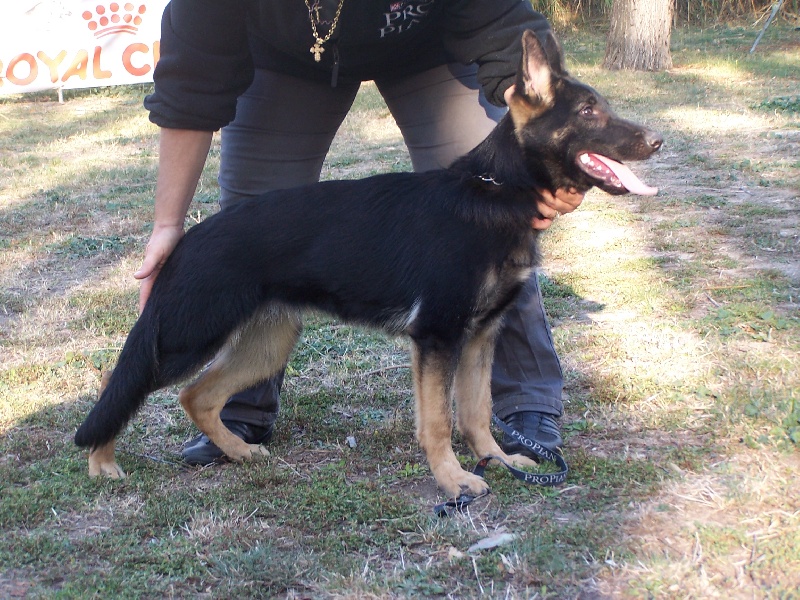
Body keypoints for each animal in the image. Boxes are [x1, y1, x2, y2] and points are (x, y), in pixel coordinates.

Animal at [75, 30, 664, 500]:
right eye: (588, 112)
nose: (657, 141)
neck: (494, 190)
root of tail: (189, 236)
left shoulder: (479, 338)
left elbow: (475, 412)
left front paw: (495, 460)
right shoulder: (438, 338)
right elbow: (437, 421)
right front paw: (453, 480)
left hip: (267, 344)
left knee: (197, 396)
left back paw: (238, 452)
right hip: (185, 340)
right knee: (127, 385)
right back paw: (101, 460)